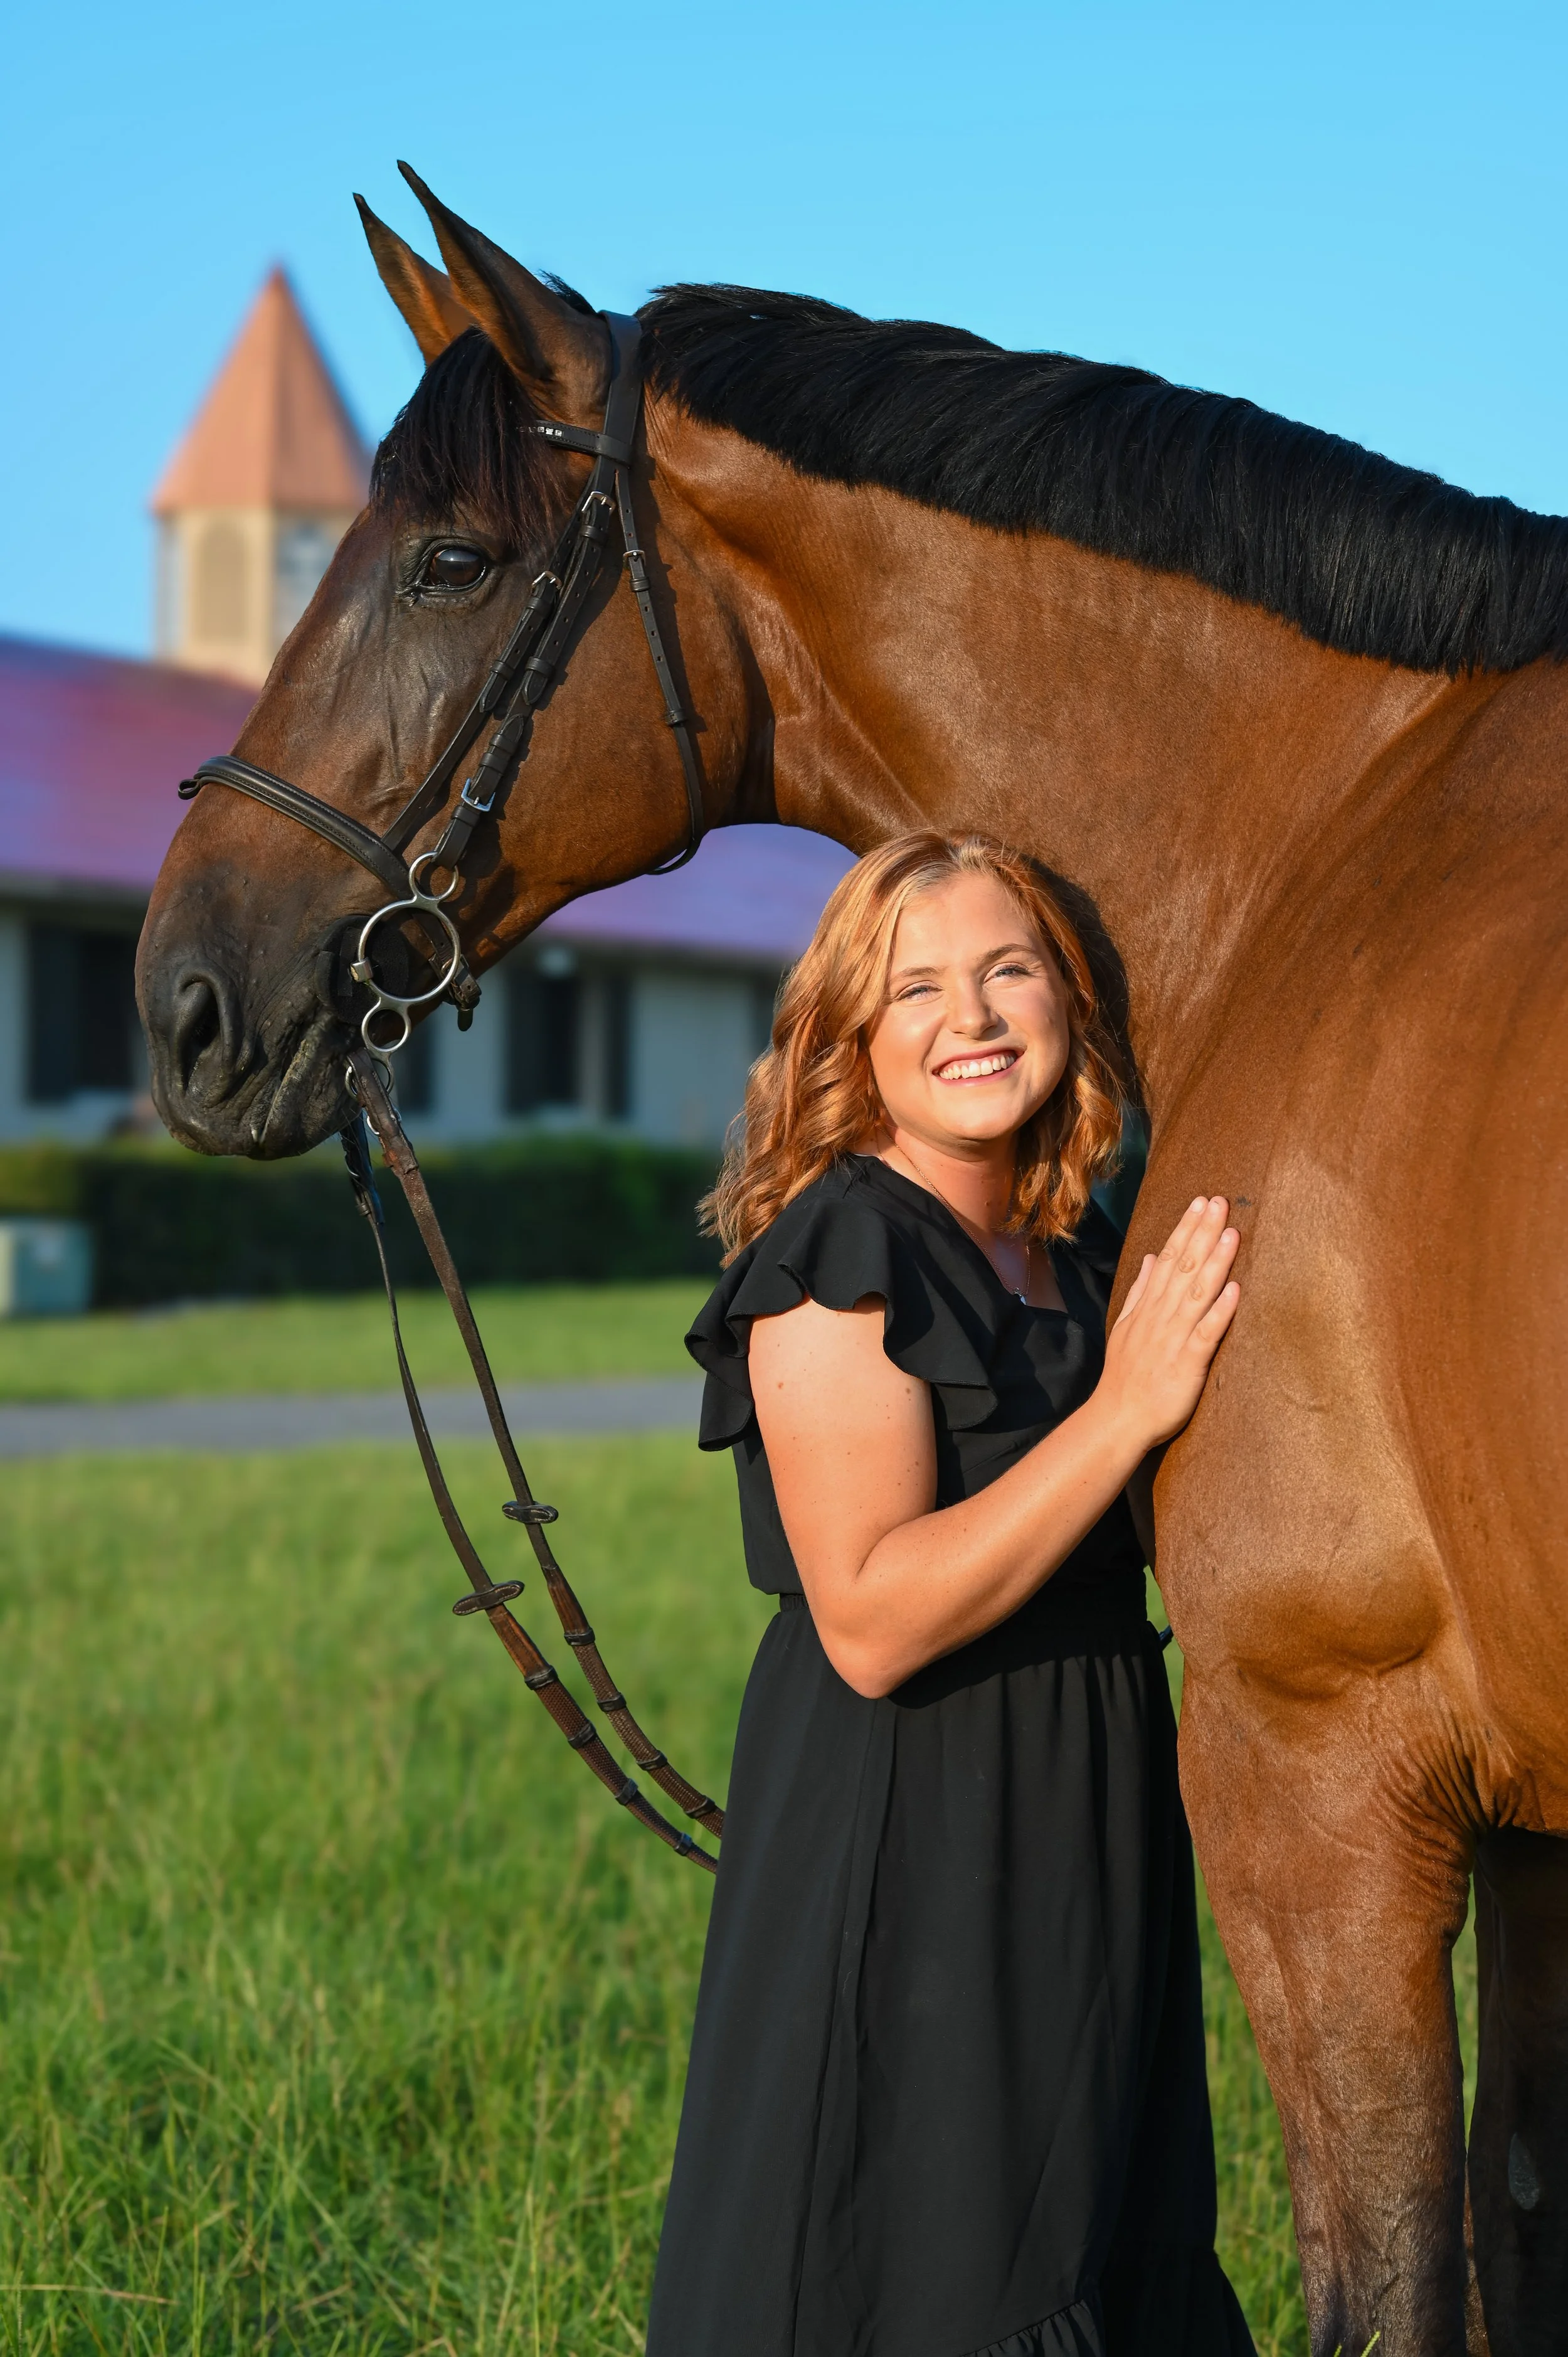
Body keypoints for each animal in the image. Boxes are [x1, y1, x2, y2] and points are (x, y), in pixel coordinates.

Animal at [137, 166, 1568, 2357]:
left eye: (453, 564)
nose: (189, 994)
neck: (1339, 832)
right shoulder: (1526, 1827)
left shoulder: (1319, 1759)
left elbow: (1398, 2277)